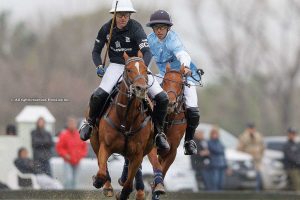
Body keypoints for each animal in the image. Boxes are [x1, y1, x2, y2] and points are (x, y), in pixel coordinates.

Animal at [89, 52, 154, 200]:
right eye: (128, 70)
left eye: (145, 70)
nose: (141, 89)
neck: (126, 118)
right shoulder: (105, 146)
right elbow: (102, 172)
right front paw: (100, 182)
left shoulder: (137, 153)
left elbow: (129, 184)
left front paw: (123, 193)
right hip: (94, 140)